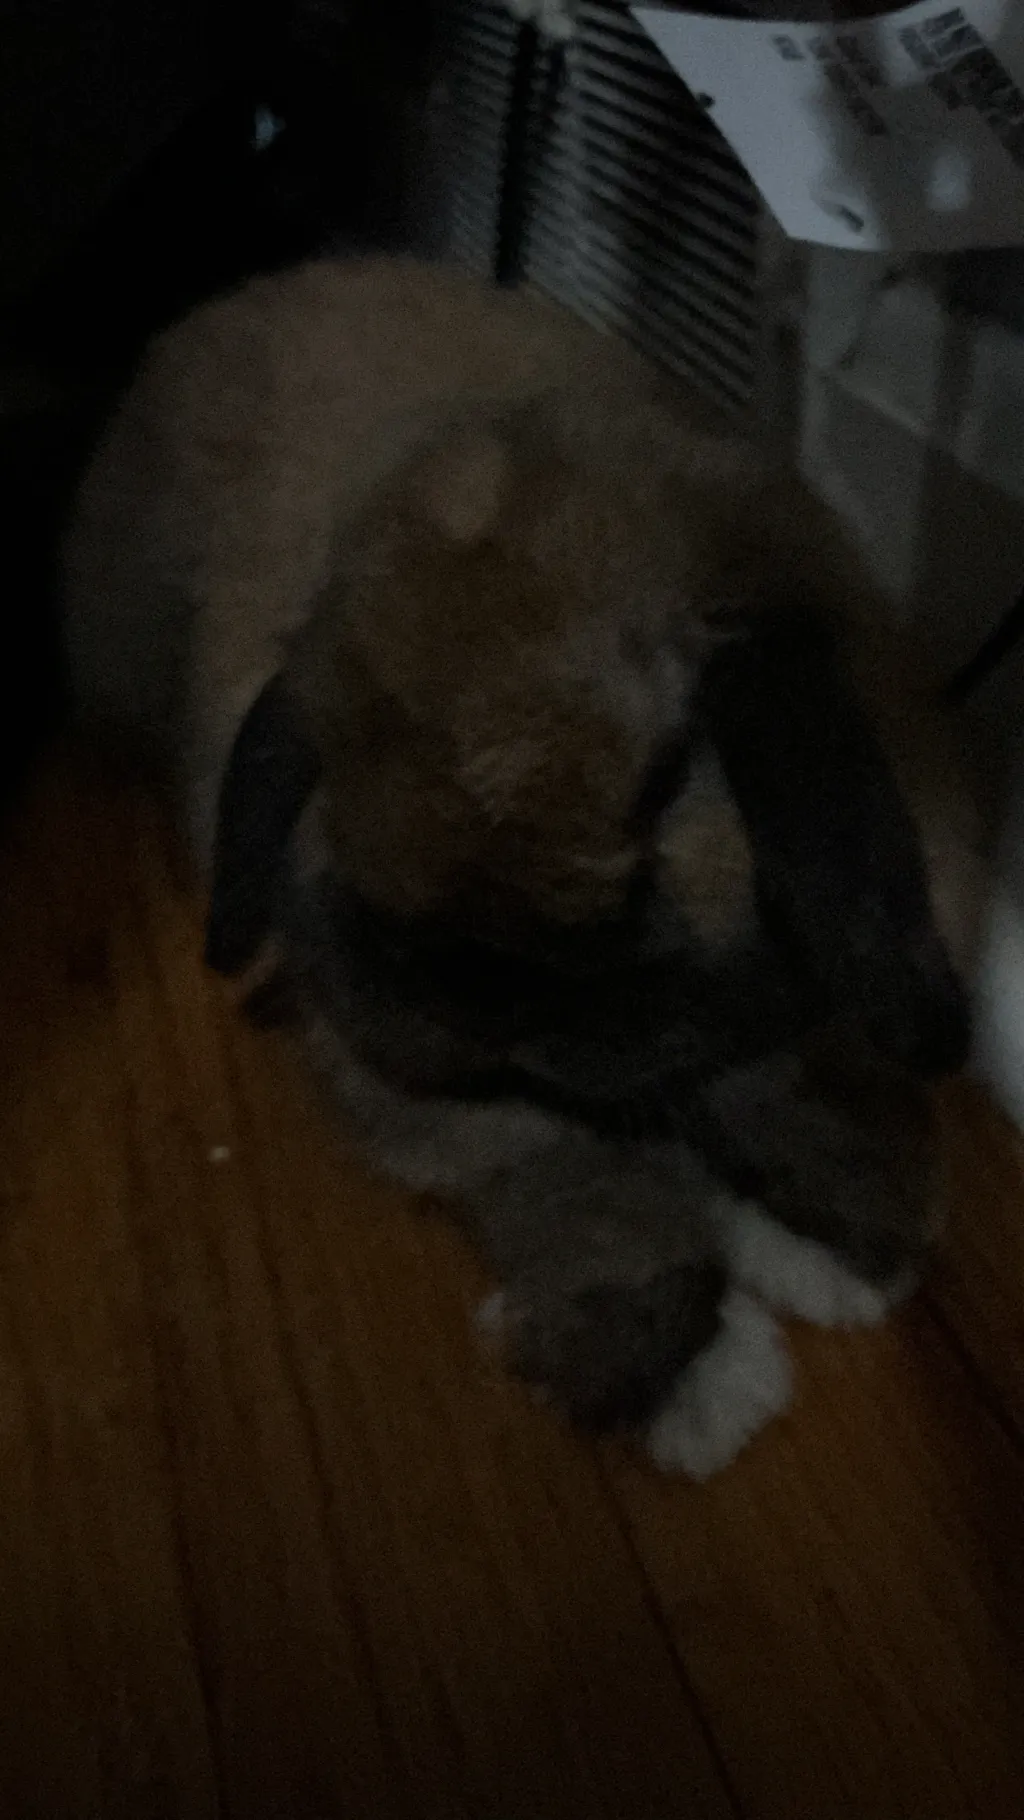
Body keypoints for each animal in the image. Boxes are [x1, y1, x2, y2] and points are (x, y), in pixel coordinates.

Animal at [63, 254, 980, 1475]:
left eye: (666, 777)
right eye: (334, 755)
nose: (477, 991)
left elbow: (793, 1089)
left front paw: (849, 1241)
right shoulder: (433, 1088)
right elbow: (581, 1192)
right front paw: (687, 1374)